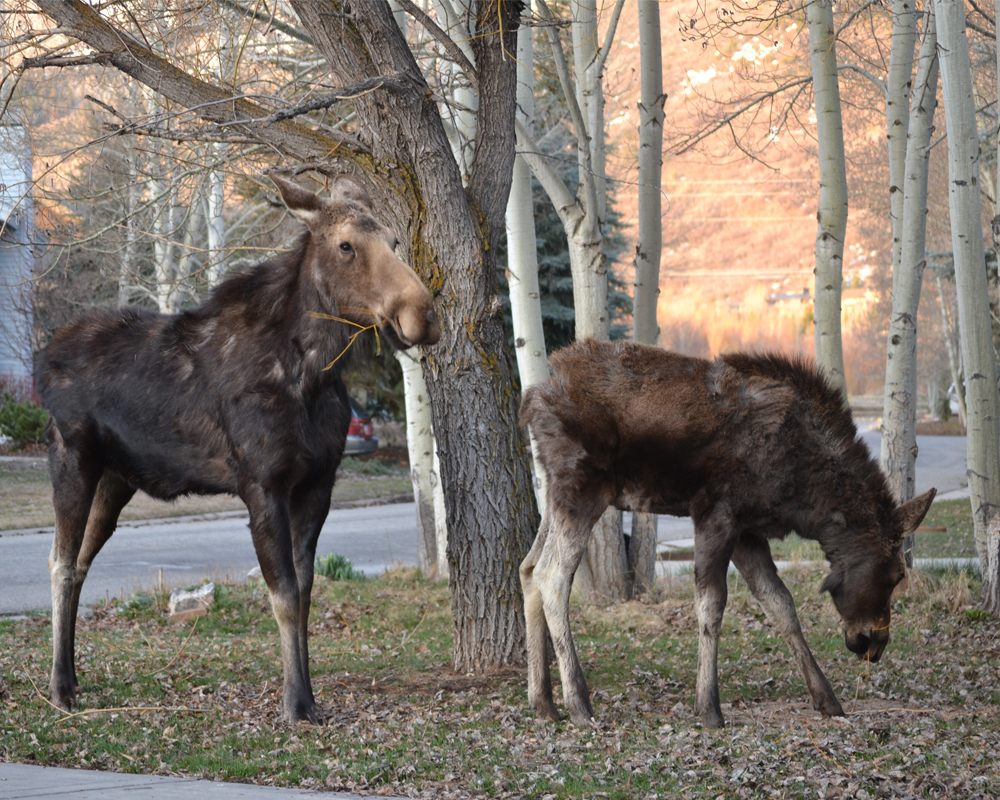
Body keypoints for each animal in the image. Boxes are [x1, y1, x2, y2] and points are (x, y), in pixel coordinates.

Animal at [39, 175, 438, 724]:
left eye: (396, 241)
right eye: (345, 245)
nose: (422, 314)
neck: (314, 374)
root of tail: (46, 354)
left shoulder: (318, 484)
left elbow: (306, 592)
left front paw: (309, 695)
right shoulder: (262, 484)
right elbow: (284, 595)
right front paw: (296, 703)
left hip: (116, 479)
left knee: (79, 564)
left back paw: (74, 677)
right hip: (71, 457)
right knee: (59, 562)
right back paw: (59, 687)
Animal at [520, 340, 932, 728]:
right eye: (897, 574)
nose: (875, 644)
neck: (804, 497)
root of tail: (532, 401)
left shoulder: (748, 530)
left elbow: (781, 604)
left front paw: (826, 698)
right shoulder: (716, 512)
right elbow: (712, 605)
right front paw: (708, 708)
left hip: (554, 494)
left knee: (527, 568)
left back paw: (543, 702)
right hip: (583, 488)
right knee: (552, 575)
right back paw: (578, 703)